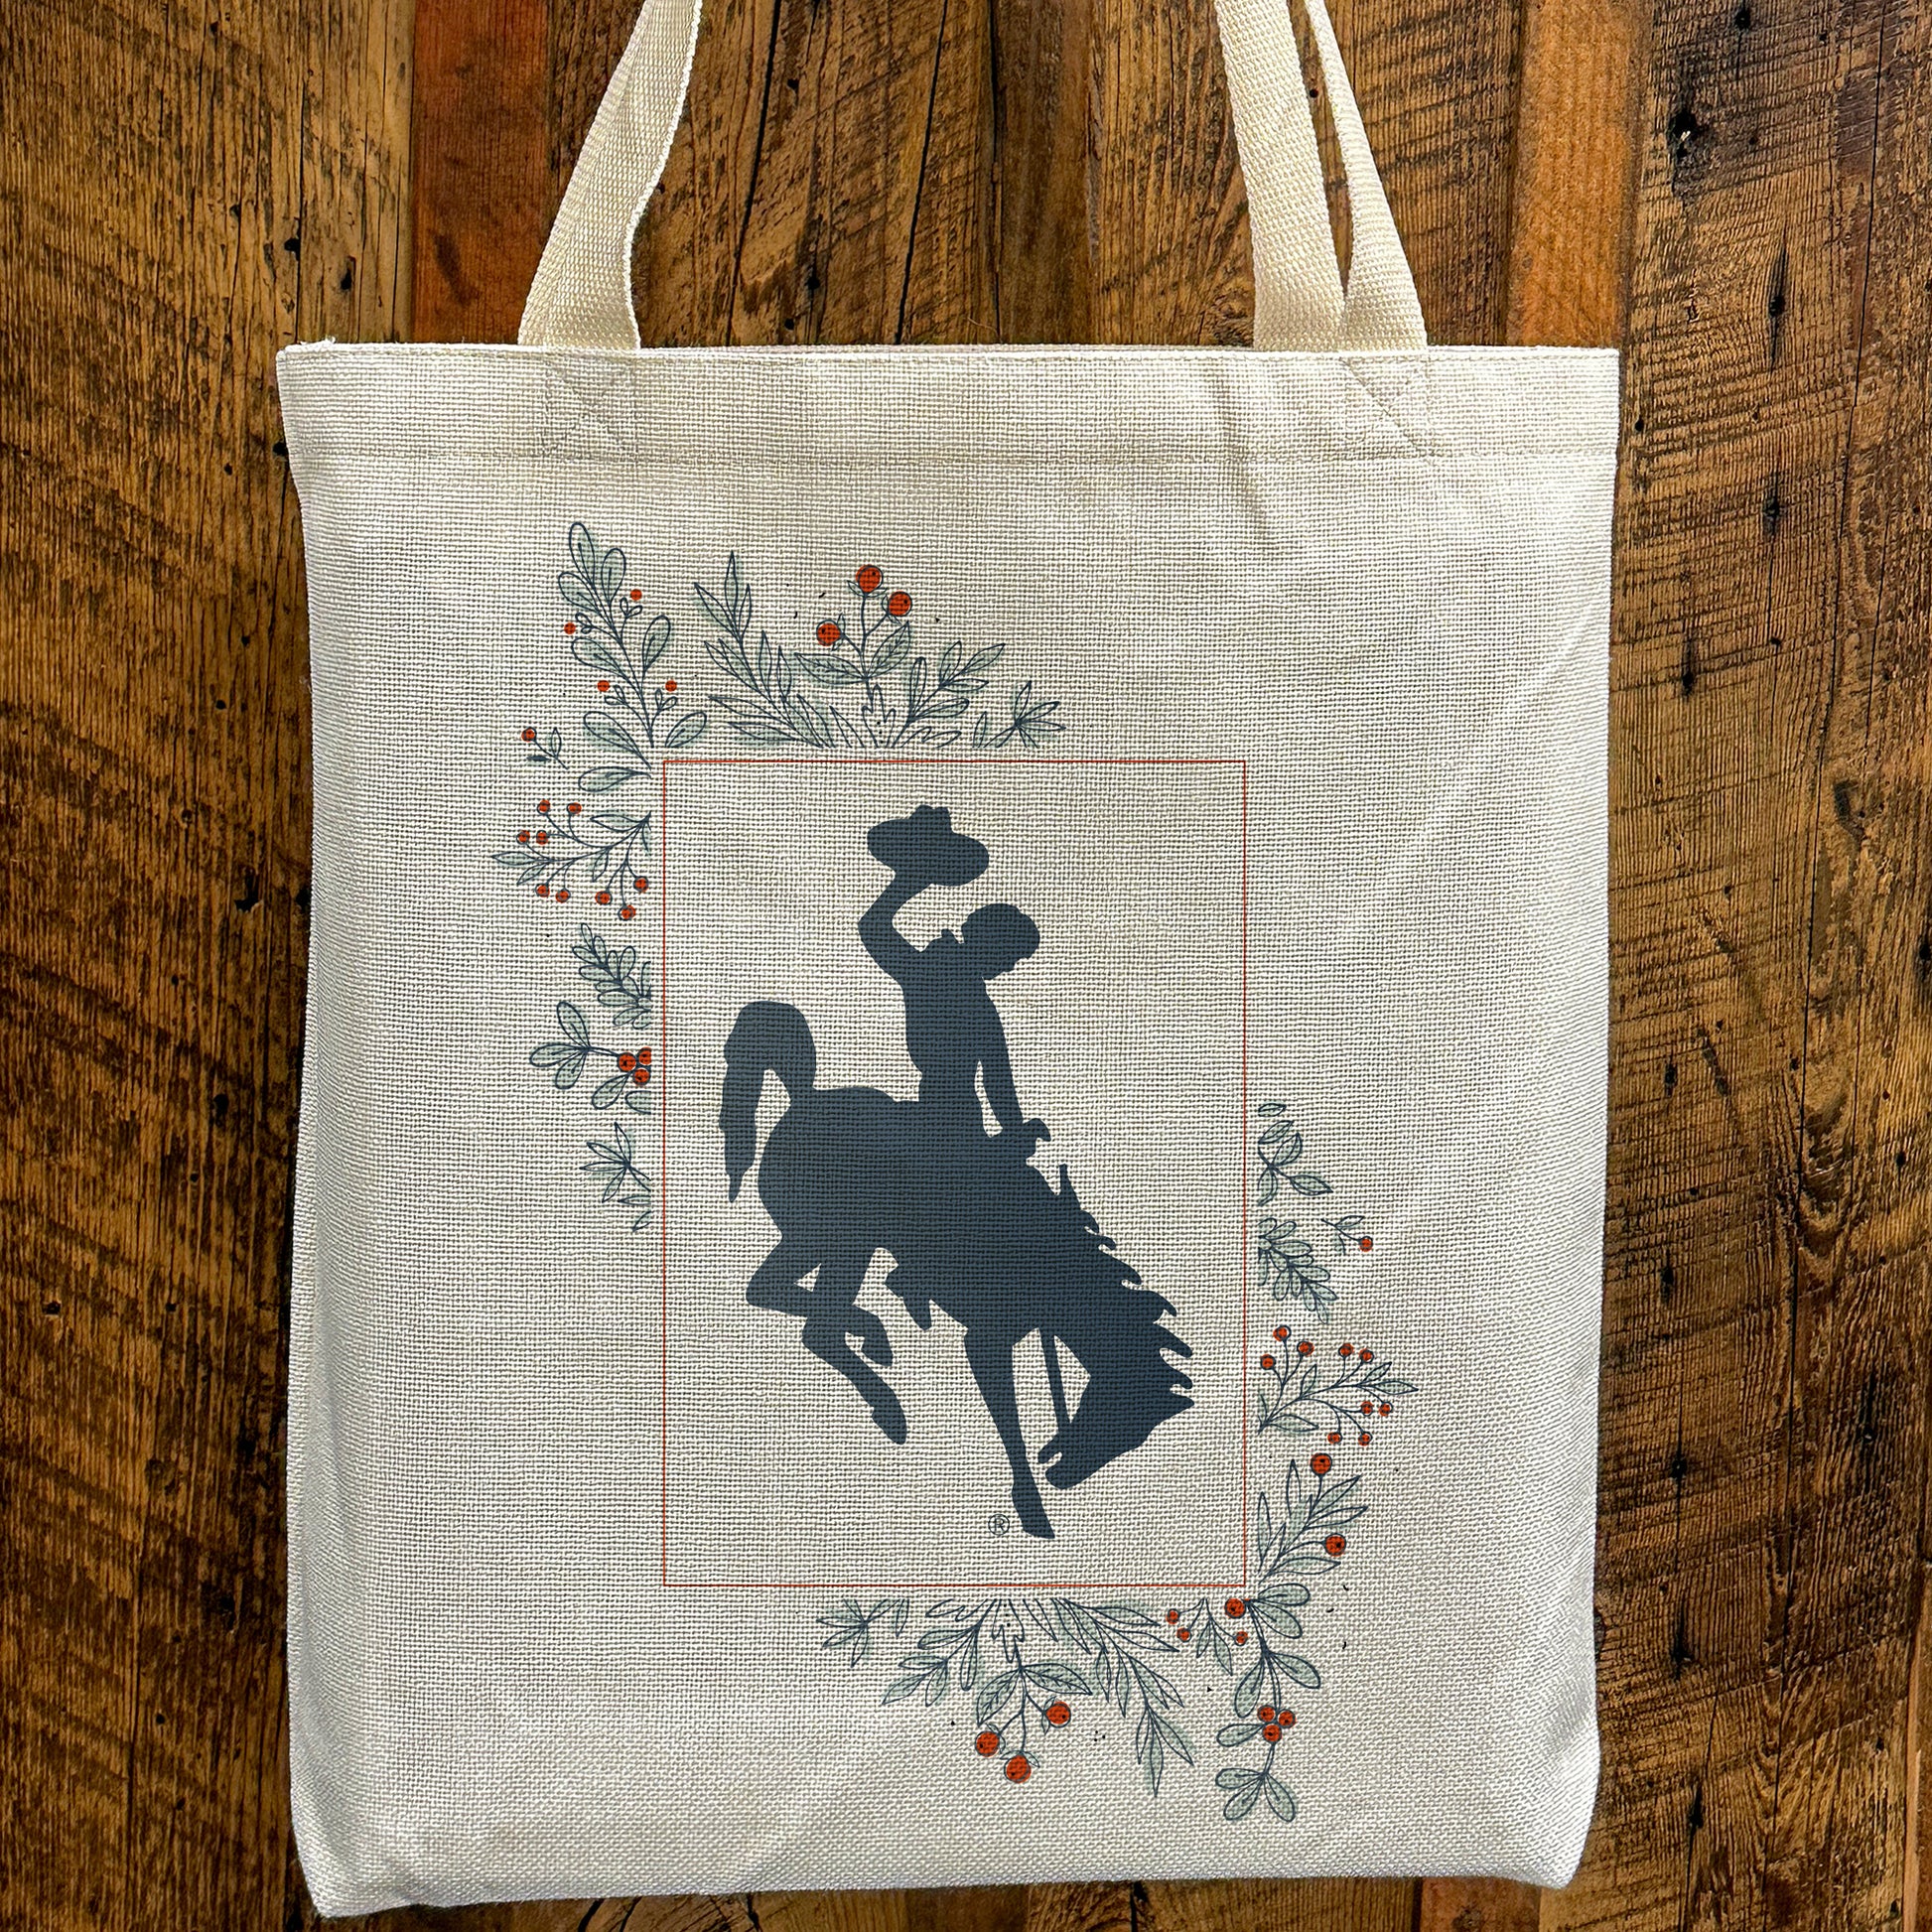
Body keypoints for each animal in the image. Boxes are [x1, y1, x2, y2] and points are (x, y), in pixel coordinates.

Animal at [720, 999, 1194, 1540]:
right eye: (1120, 1411)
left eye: (1138, 1435)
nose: (1066, 1476)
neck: (1058, 1273)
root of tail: (804, 1101)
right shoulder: (985, 1340)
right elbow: (1008, 1422)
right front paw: (1032, 1510)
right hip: (840, 1239)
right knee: (805, 1317)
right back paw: (882, 1376)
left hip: (825, 1242)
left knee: (783, 1301)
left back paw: (873, 1343)